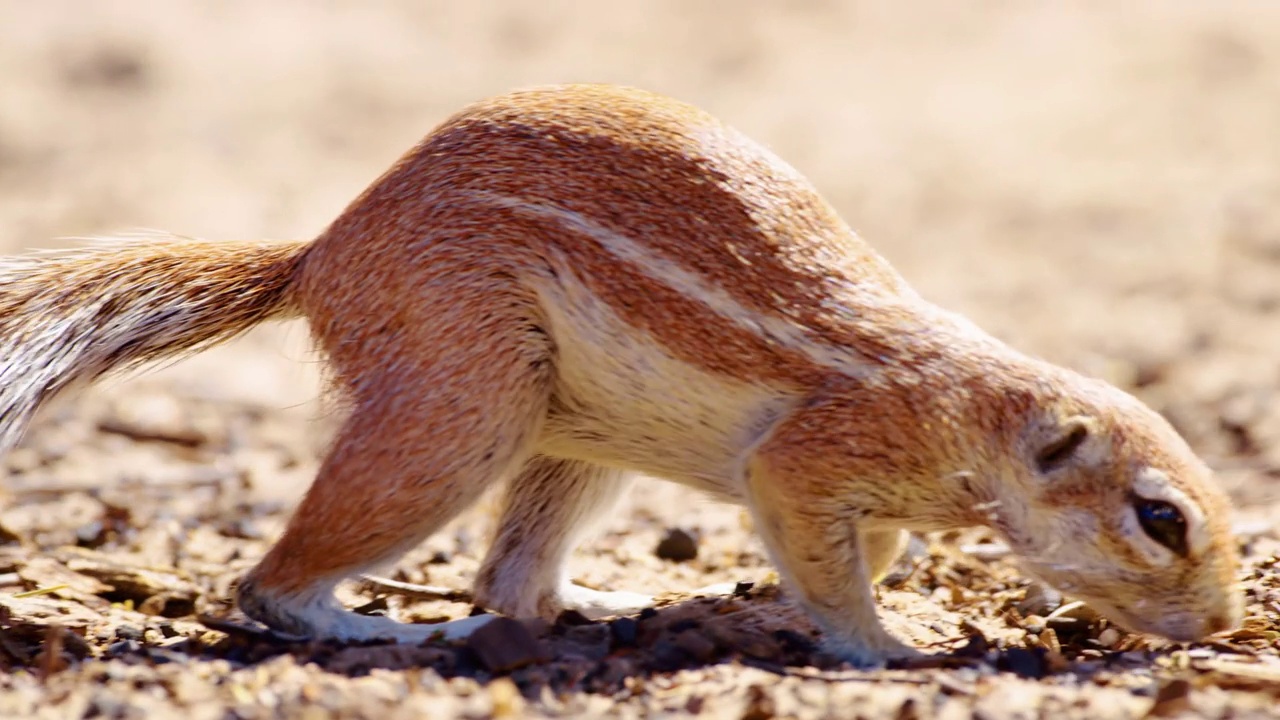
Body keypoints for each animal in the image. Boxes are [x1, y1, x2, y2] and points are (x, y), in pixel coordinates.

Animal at [0, 82, 1239, 661]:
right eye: (1159, 519)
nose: (1225, 623)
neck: (970, 410)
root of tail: (321, 253)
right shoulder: (815, 455)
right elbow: (828, 561)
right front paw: (889, 645)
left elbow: (861, 549)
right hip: (464, 397)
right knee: (273, 589)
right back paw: (394, 631)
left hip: (572, 440)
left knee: (512, 580)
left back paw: (599, 599)